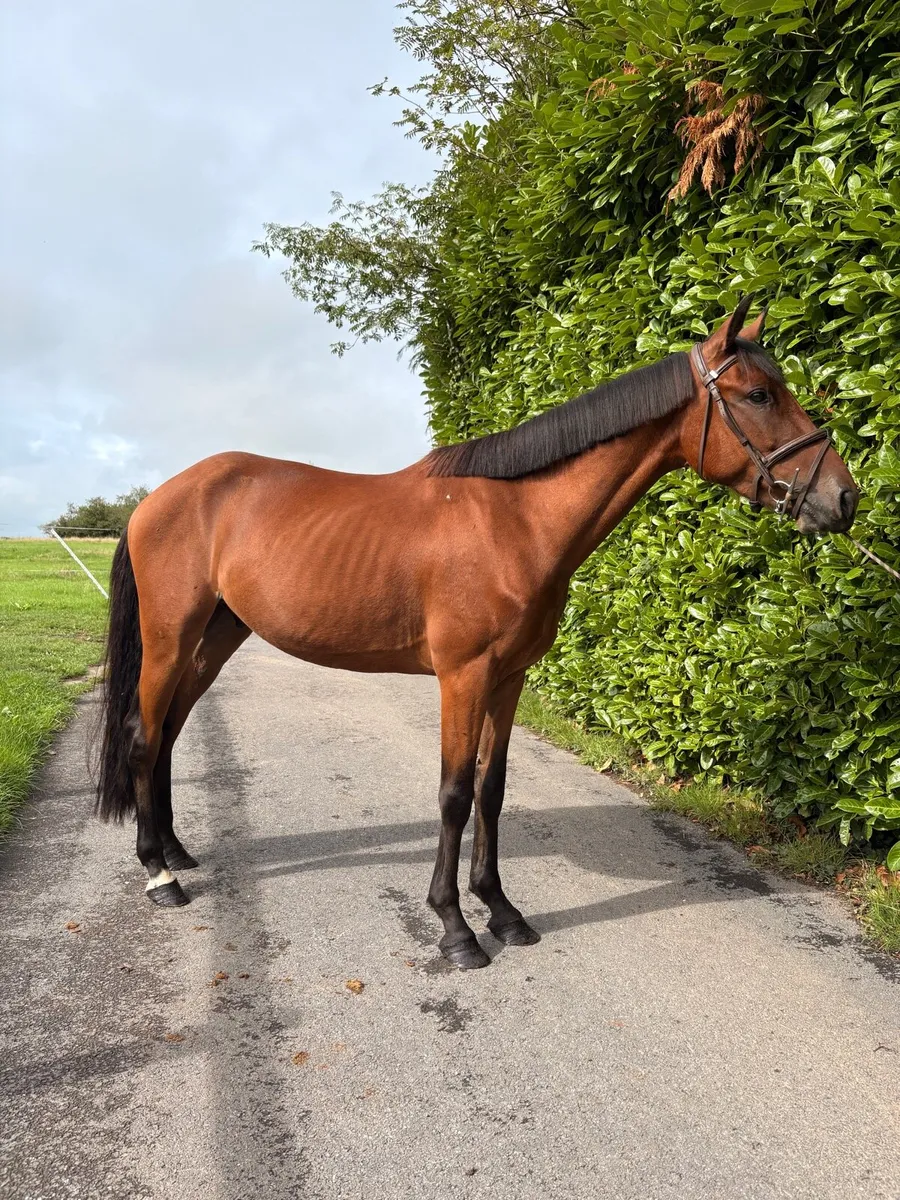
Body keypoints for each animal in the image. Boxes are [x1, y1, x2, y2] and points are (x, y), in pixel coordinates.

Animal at [95, 299, 858, 969]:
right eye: (759, 394)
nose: (842, 498)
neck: (514, 521)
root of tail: (157, 499)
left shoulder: (509, 677)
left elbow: (492, 790)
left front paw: (503, 912)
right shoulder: (462, 677)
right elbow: (455, 795)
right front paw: (456, 929)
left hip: (216, 638)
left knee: (167, 736)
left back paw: (176, 851)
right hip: (171, 638)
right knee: (142, 735)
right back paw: (159, 875)